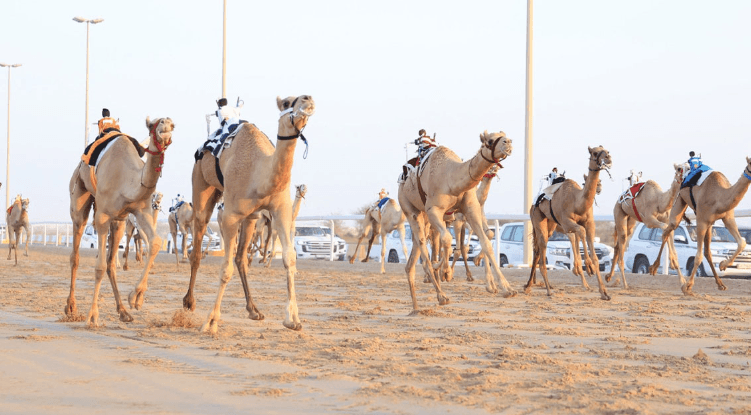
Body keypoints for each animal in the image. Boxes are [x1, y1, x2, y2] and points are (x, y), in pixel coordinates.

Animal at [66, 116, 174, 326]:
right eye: (152, 125)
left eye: (173, 125)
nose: (165, 124)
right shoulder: (102, 216)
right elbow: (99, 266)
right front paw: (92, 316)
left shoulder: (140, 210)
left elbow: (156, 242)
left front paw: (136, 298)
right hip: (79, 193)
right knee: (76, 254)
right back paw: (71, 307)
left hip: (119, 221)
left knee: (111, 263)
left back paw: (123, 311)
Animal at [183, 95, 315, 333]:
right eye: (287, 102)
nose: (307, 99)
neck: (260, 175)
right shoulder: (230, 216)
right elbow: (225, 269)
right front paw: (210, 322)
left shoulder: (281, 212)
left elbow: (289, 259)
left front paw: (293, 320)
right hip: (201, 183)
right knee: (197, 246)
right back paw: (189, 301)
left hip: (251, 218)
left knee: (240, 258)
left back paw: (254, 310)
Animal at [398, 130, 514, 311]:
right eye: (489, 141)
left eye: (504, 135)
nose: (508, 143)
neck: (451, 180)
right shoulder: (435, 210)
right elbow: (448, 239)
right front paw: (446, 272)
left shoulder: (471, 209)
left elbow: (486, 241)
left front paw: (506, 288)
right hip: (410, 208)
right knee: (424, 246)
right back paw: (441, 294)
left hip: (425, 218)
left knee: (414, 257)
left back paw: (417, 308)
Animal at [527, 146, 613, 301]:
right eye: (595, 152)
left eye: (606, 150)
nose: (608, 158)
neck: (577, 202)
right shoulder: (567, 224)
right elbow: (580, 234)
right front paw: (588, 267)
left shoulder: (589, 224)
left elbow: (594, 255)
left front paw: (604, 293)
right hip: (537, 219)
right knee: (541, 251)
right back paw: (548, 291)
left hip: (550, 225)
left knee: (537, 250)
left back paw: (530, 286)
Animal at [650, 157, 751, 295]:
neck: (720, 196)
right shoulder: (701, 221)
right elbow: (698, 256)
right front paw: (687, 286)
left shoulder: (727, 217)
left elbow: (742, 242)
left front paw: (723, 265)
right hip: (679, 198)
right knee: (667, 230)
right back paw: (656, 268)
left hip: (707, 222)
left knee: (706, 251)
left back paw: (719, 283)